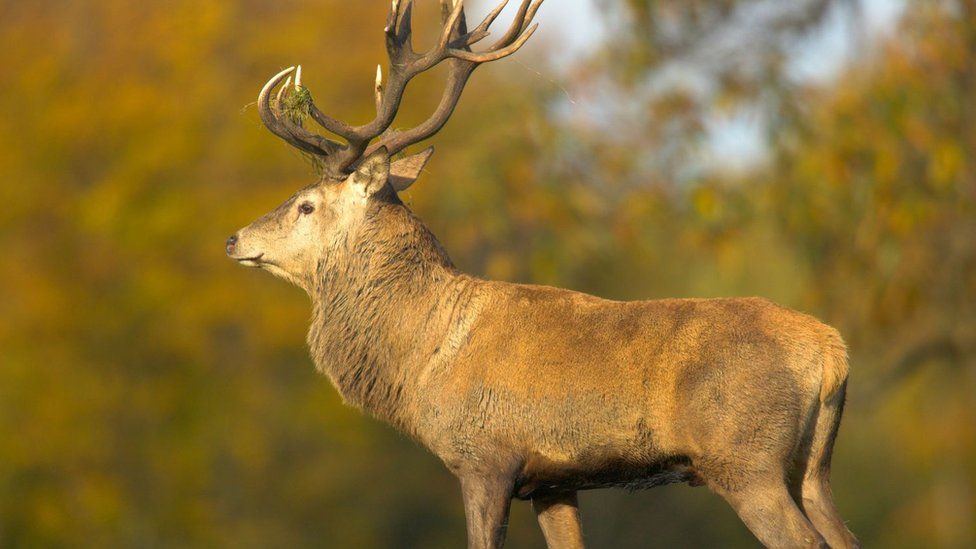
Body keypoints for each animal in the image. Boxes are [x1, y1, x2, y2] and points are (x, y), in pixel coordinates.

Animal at [225, 2, 856, 544]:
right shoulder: (554, 481)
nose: (235, 239)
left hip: (745, 460)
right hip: (812, 469)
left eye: (306, 205)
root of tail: (831, 352)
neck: (424, 359)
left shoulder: (485, 458)